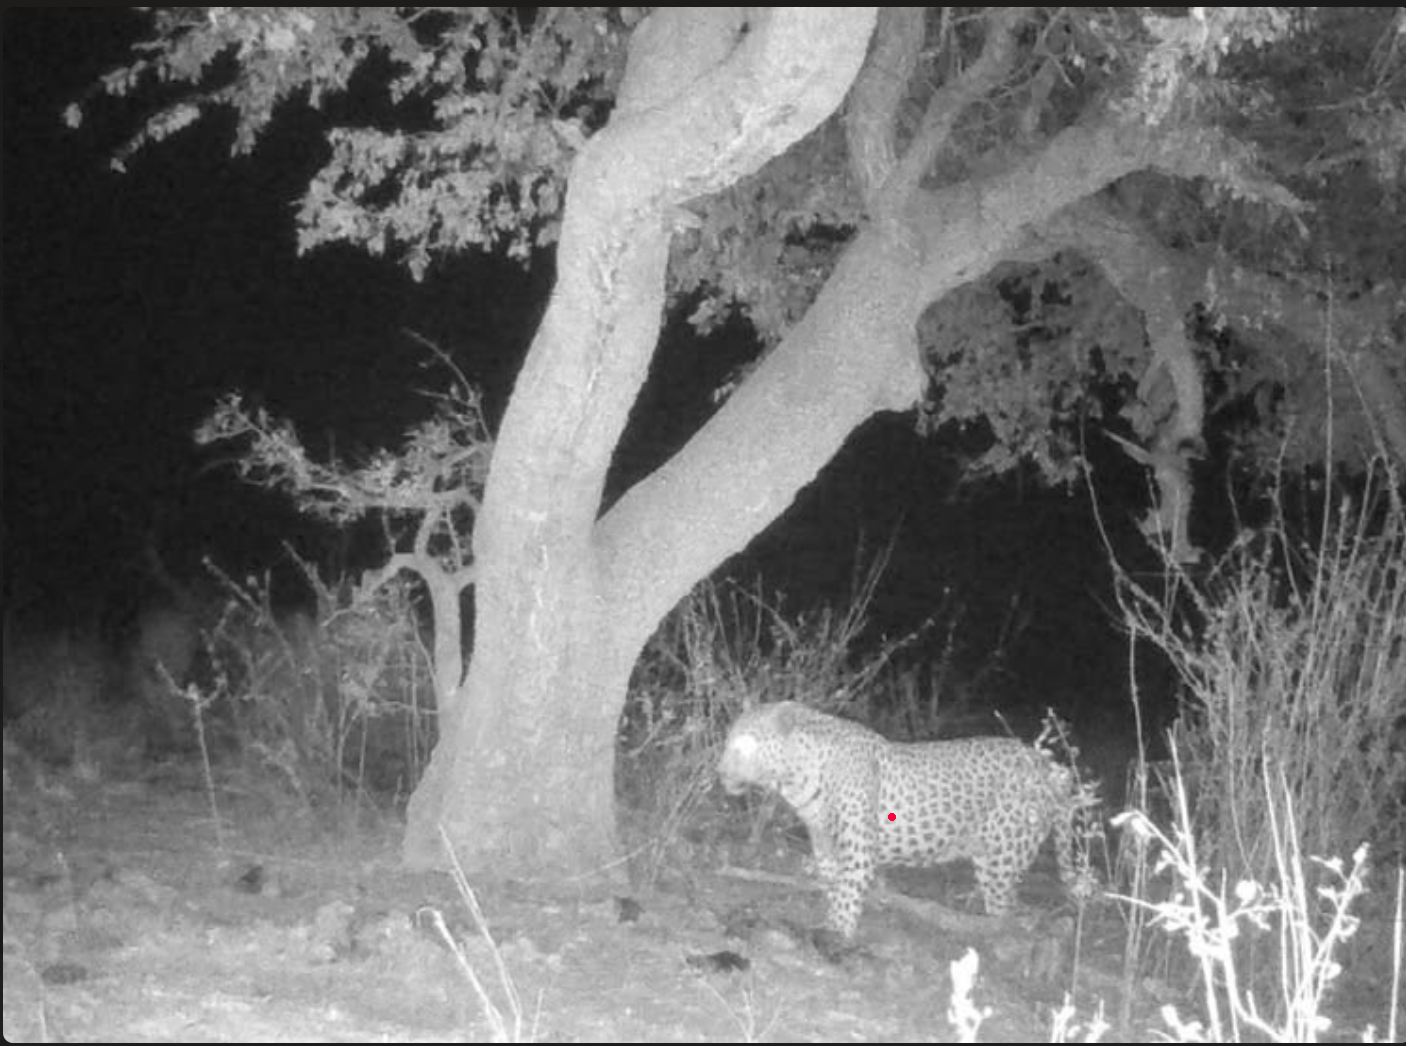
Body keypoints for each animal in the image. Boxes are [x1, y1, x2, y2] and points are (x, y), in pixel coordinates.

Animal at [717, 700, 1080, 938]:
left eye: (742, 746)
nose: (719, 771)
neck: (796, 777)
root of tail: (1053, 769)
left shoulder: (859, 852)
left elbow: (847, 895)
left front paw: (835, 936)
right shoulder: (825, 844)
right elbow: (834, 886)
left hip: (1004, 856)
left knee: (1010, 913)